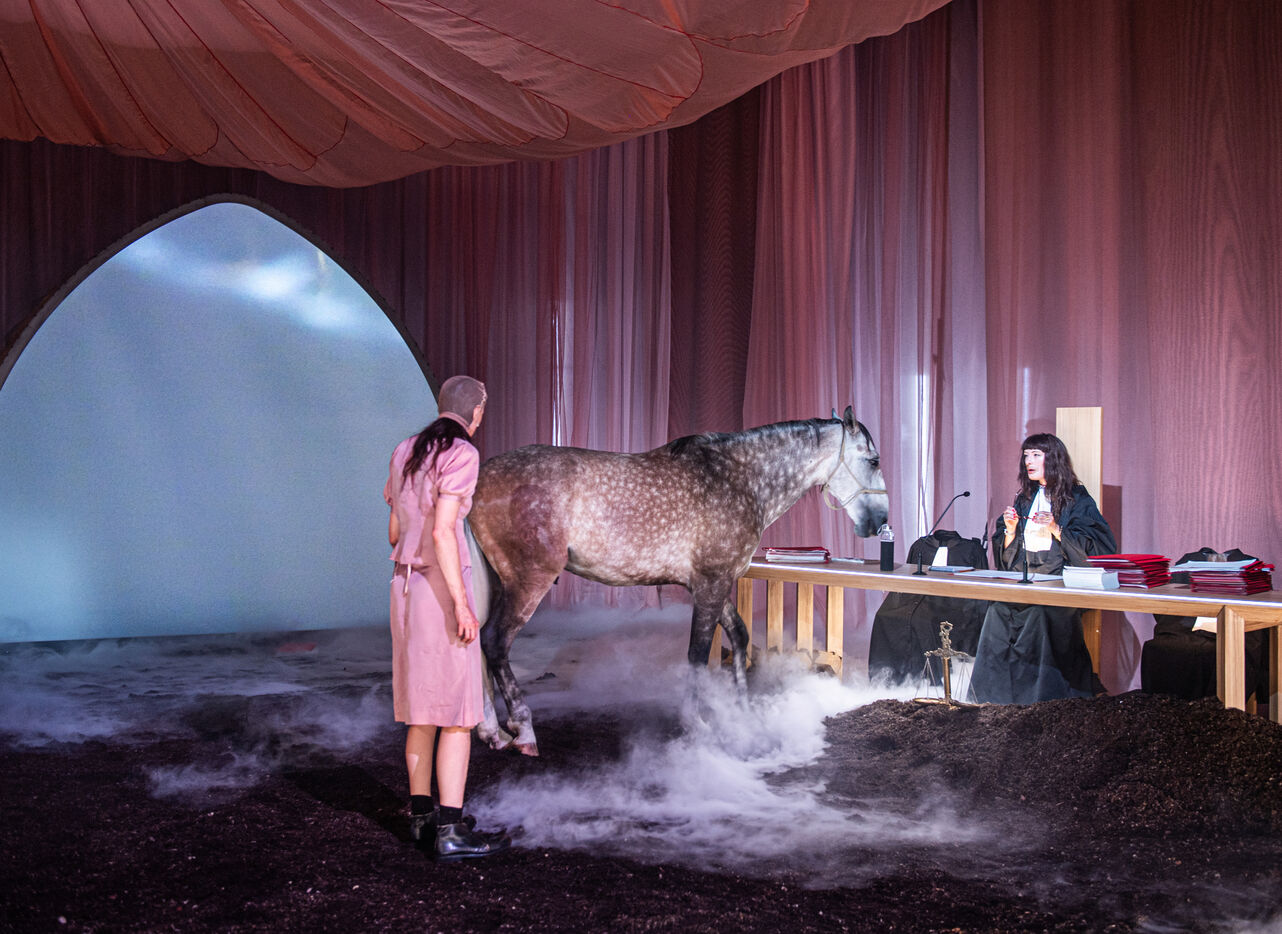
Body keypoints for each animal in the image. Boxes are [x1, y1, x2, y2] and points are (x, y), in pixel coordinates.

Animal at [467, 406, 889, 755]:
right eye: (873, 459)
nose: (881, 521)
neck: (738, 478)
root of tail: (480, 477)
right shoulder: (711, 584)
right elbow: (697, 655)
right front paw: (696, 723)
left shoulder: (715, 582)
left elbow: (739, 637)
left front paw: (741, 711)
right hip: (529, 580)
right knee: (495, 642)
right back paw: (522, 731)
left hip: (496, 582)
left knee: (477, 646)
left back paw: (492, 732)